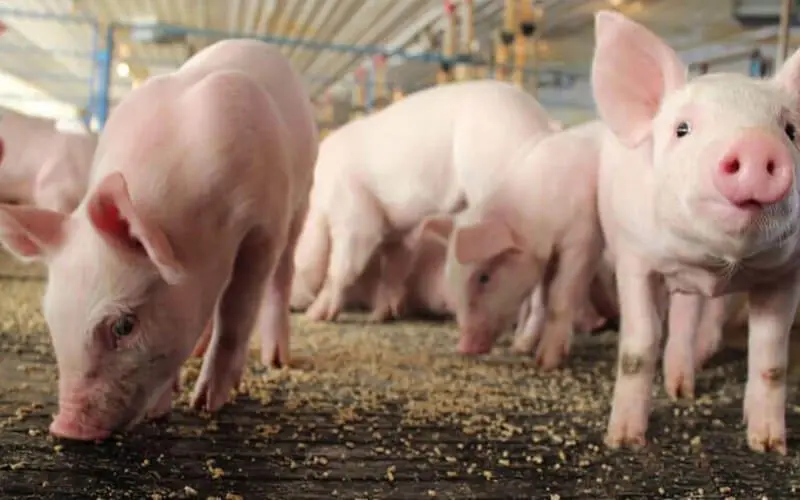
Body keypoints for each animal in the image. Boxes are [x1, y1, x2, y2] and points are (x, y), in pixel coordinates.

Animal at [0, 39, 317, 440]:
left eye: (124, 326)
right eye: (52, 318)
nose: (65, 427)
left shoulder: (264, 223)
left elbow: (238, 310)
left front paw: (206, 404)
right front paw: (161, 409)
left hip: (303, 198)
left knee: (283, 272)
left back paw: (276, 359)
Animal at [289, 80, 559, 324]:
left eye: (289, 258)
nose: (291, 306)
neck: (320, 205)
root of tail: (543, 121)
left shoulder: (355, 215)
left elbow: (342, 268)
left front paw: (315, 317)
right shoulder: (398, 234)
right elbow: (392, 271)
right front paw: (382, 316)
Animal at [421, 119, 607, 369]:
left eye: (484, 277)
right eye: (451, 280)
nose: (464, 347)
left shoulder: (583, 238)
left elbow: (560, 294)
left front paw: (545, 362)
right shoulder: (542, 258)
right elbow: (541, 298)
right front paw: (521, 347)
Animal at [592, 10, 800, 454]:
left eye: (791, 131)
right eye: (682, 129)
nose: (756, 145)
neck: (711, 263)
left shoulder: (785, 273)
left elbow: (771, 358)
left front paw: (769, 446)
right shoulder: (635, 260)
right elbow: (639, 346)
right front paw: (624, 441)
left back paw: (685, 388)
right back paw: (679, 391)